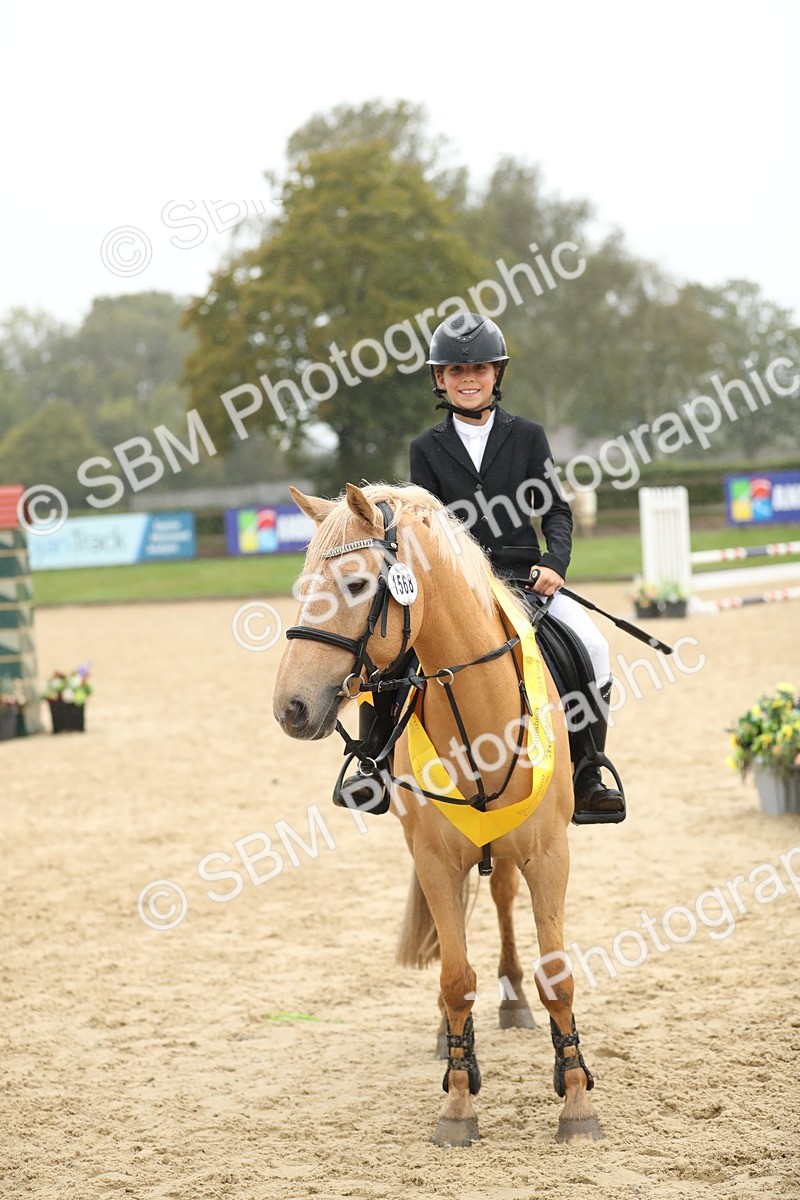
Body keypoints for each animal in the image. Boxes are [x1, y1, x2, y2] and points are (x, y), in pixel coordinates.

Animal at [272, 482, 602, 1147]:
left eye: (355, 584)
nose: (289, 707)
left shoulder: (548, 853)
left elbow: (557, 975)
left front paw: (577, 1100)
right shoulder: (434, 859)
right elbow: (454, 979)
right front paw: (457, 1101)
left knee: (501, 897)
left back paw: (512, 1003)